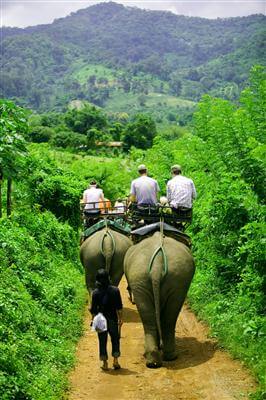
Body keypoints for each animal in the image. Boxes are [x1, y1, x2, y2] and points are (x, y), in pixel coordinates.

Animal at [123, 231, 194, 368]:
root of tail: (157, 264)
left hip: (144, 278)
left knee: (156, 317)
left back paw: (155, 360)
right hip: (171, 279)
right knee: (167, 317)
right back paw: (163, 358)